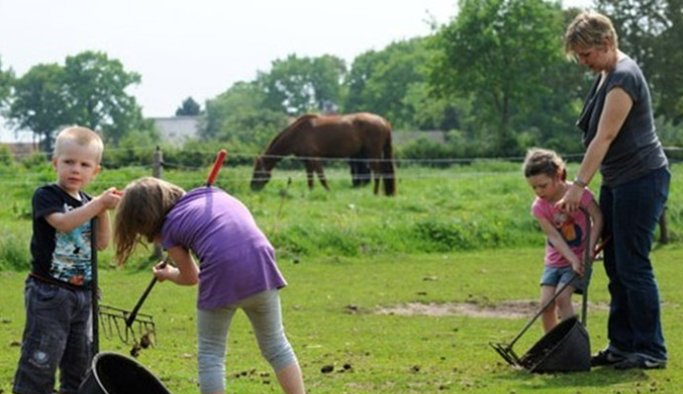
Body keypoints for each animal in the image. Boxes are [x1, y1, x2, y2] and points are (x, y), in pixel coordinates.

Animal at [252, 112, 398, 195]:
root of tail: (384, 121)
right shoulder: (307, 161)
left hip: (372, 153)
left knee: (378, 172)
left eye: (257, 172)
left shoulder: (314, 158)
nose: (252, 187)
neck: (297, 133)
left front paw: (328, 192)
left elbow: (321, 177)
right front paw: (310, 193)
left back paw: (375, 193)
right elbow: (310, 179)